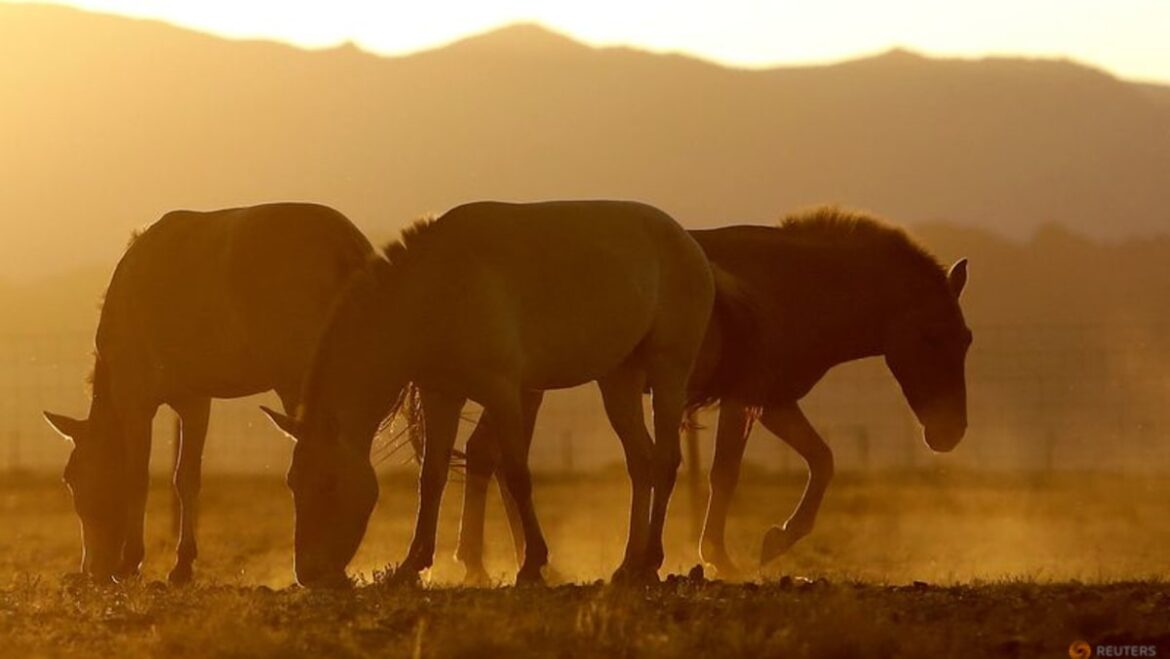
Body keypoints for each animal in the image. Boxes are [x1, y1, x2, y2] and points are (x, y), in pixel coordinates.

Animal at [43, 203, 374, 584]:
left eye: (70, 478)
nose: (92, 568)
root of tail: (344, 244)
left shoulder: (135, 399)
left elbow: (138, 477)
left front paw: (130, 562)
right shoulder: (194, 401)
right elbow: (186, 477)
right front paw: (182, 565)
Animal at [261, 200, 714, 587]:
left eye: (328, 484)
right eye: (292, 482)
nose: (309, 573)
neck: (434, 290)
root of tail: (685, 240)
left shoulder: (503, 392)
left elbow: (516, 474)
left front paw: (532, 565)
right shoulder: (442, 395)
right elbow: (432, 477)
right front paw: (411, 565)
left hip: (668, 370)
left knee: (665, 462)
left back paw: (651, 561)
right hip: (618, 378)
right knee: (641, 463)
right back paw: (628, 566)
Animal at [452, 206, 971, 581]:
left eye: (965, 339)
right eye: (930, 337)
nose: (949, 434)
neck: (788, 285)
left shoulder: (774, 400)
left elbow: (821, 460)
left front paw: (777, 539)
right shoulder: (746, 399)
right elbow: (726, 473)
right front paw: (723, 555)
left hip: (524, 388)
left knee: (485, 456)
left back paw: (496, 563)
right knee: (494, 459)